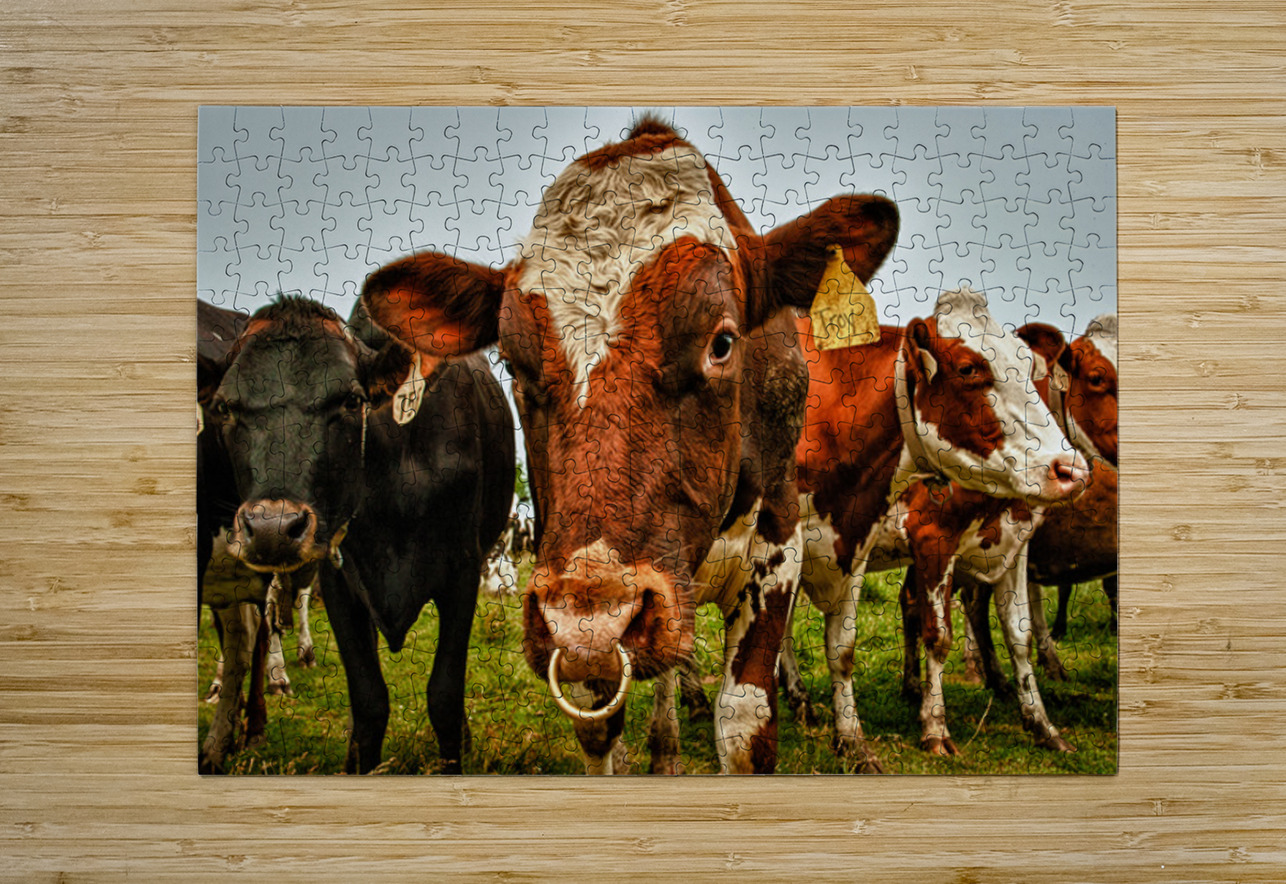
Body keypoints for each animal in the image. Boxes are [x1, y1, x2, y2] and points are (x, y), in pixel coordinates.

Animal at [197, 294, 514, 774]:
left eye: (350, 400)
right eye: (225, 408)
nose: (272, 528)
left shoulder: (462, 573)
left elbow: (444, 695)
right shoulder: (339, 581)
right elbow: (368, 701)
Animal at [361, 116, 901, 774]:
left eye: (722, 343)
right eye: (512, 363)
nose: (595, 624)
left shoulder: (780, 540)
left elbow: (745, 725)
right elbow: (599, 726)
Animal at [785, 287, 1089, 770]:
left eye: (1029, 368)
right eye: (968, 368)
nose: (1071, 470)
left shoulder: (1013, 544)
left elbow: (1018, 635)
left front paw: (1042, 726)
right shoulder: (933, 541)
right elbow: (938, 635)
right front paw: (934, 727)